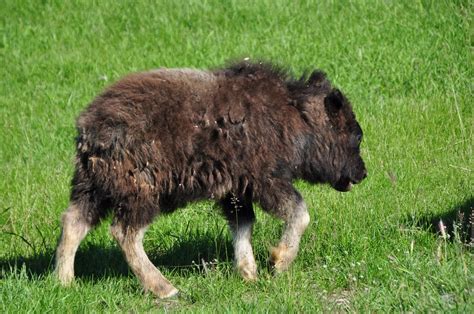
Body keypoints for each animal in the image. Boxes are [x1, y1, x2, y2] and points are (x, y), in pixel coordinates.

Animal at [54, 60, 366, 298]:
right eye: (356, 135)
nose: (362, 173)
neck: (295, 115)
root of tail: (90, 129)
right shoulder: (266, 181)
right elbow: (299, 213)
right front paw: (278, 261)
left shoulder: (237, 191)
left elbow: (243, 226)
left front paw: (249, 273)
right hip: (140, 194)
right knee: (125, 233)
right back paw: (165, 289)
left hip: (91, 189)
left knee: (73, 223)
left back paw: (65, 281)